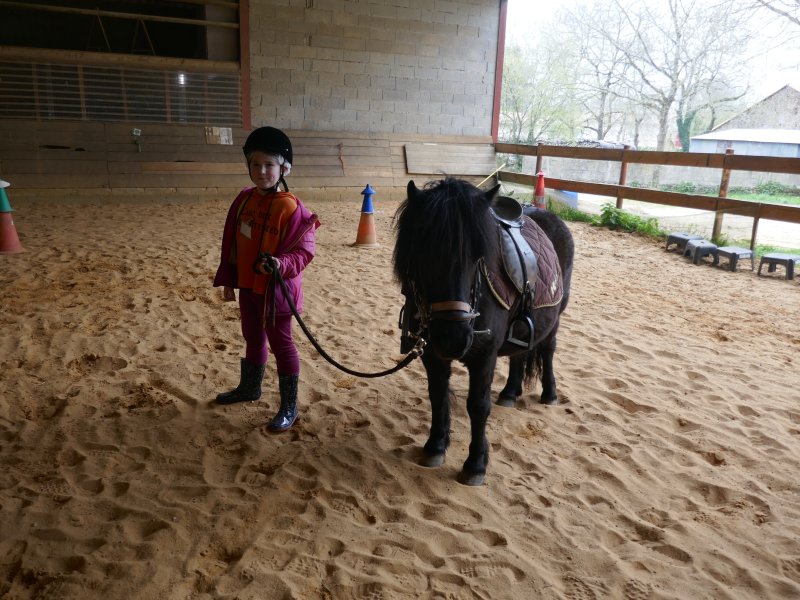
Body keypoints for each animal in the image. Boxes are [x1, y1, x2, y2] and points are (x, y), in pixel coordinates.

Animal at [393, 178, 574, 486]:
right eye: (421, 255)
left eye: (478, 257)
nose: (453, 339)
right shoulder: (431, 352)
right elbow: (438, 395)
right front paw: (435, 446)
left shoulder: (485, 356)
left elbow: (478, 405)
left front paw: (475, 464)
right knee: (518, 354)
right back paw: (510, 393)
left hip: (556, 316)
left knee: (548, 350)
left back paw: (549, 393)